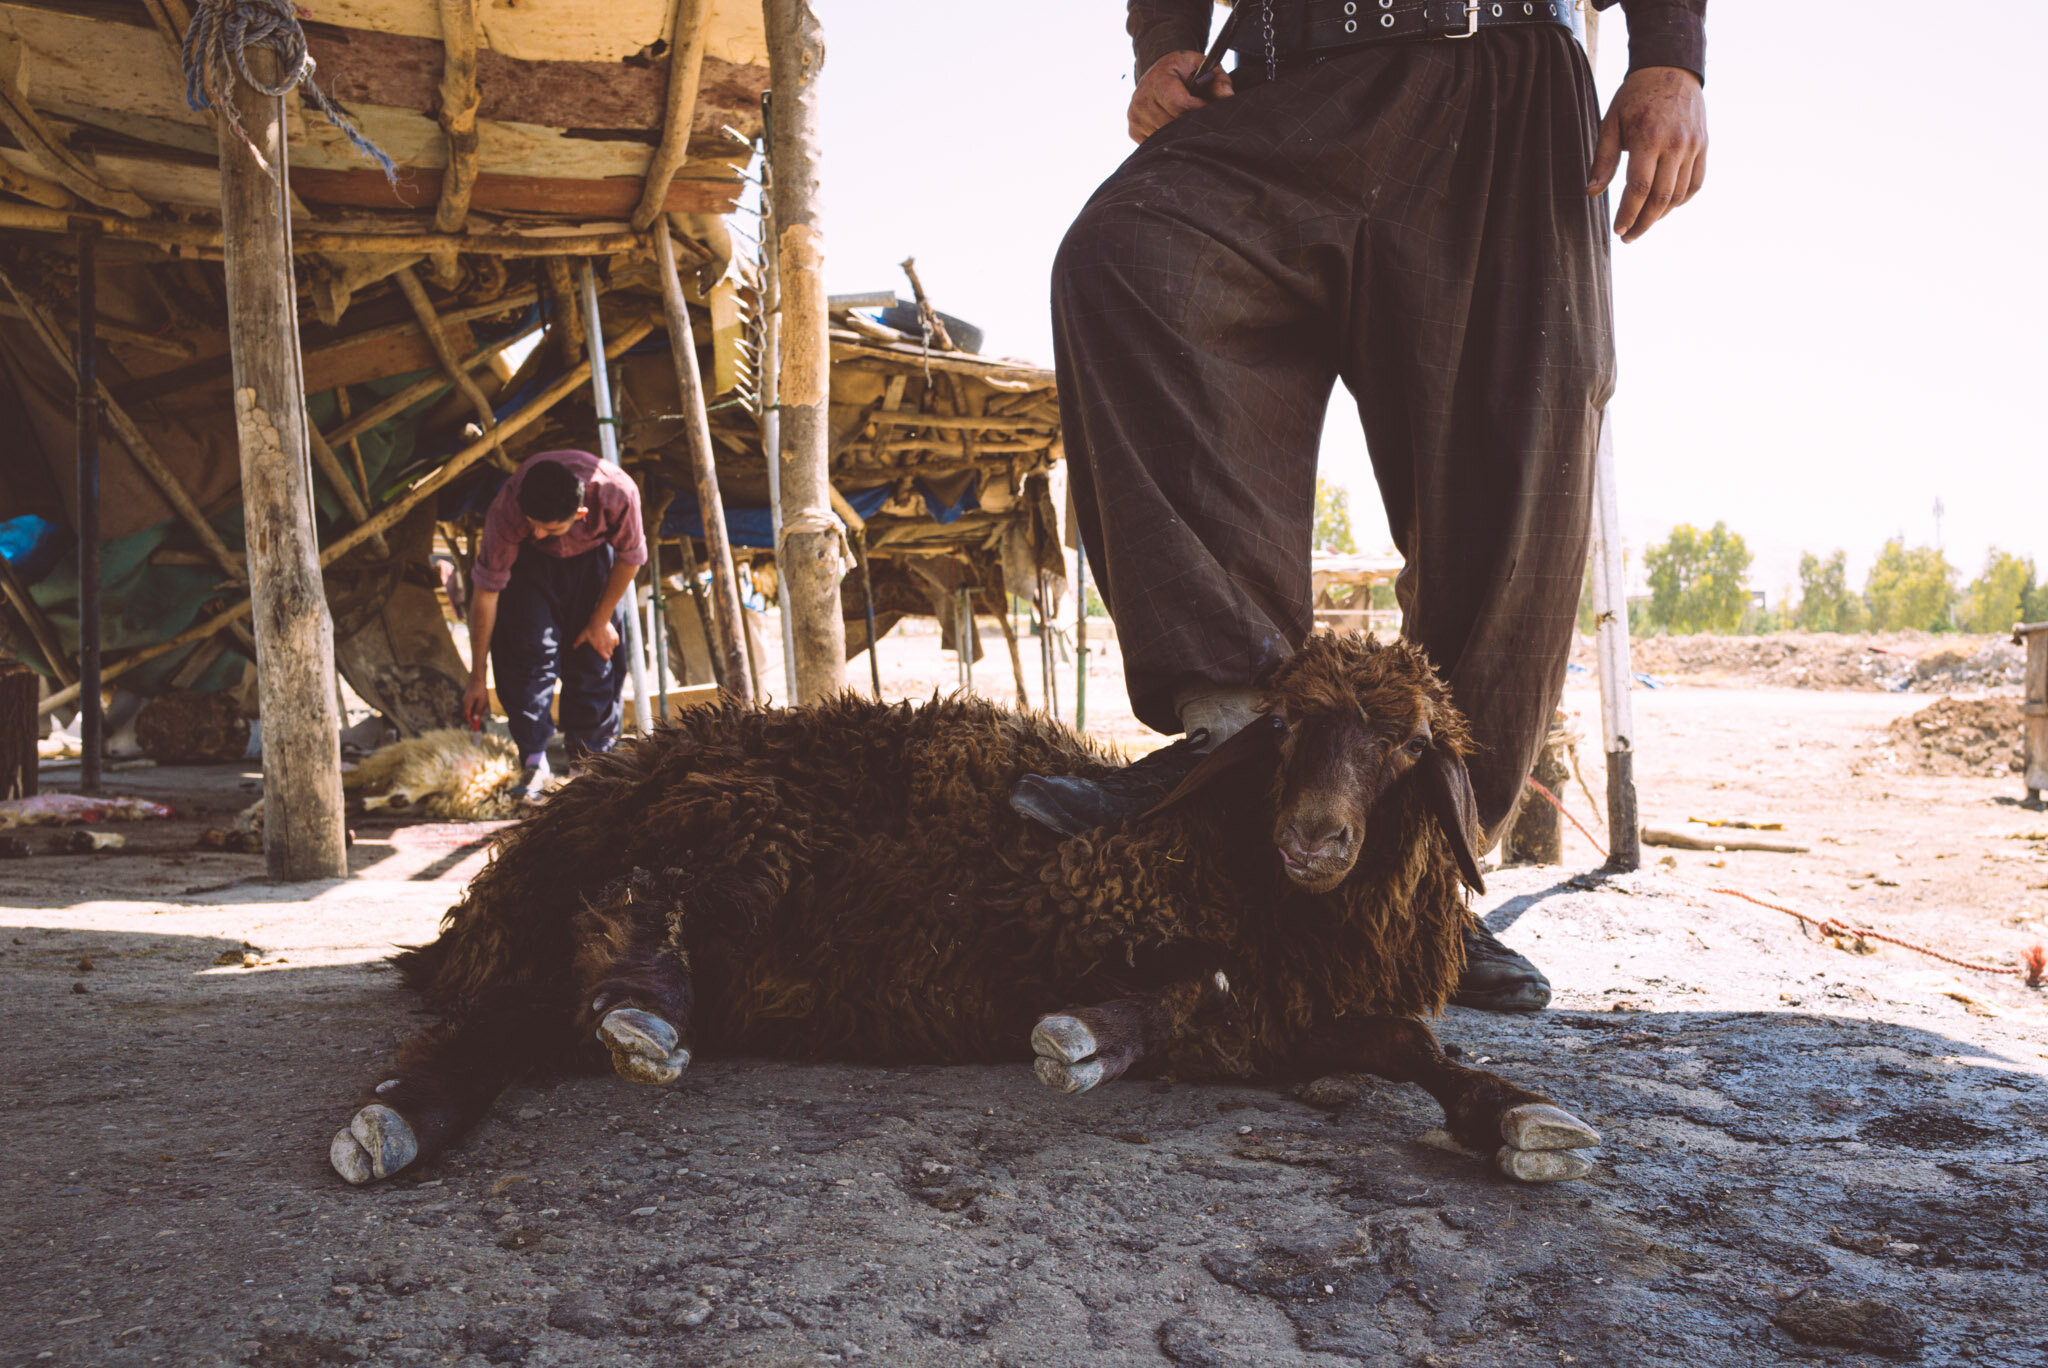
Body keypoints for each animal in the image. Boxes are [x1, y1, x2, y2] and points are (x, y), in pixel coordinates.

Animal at [331, 630, 1597, 1187]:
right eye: (1282, 729)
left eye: (1406, 746)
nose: (1315, 838)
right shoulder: (1133, 936)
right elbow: (1184, 988)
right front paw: (1087, 1035)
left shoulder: (1303, 1018)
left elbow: (1415, 1044)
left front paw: (1520, 1118)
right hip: (732, 826)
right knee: (620, 921)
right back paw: (625, 1014)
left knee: (522, 1020)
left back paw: (418, 1114)